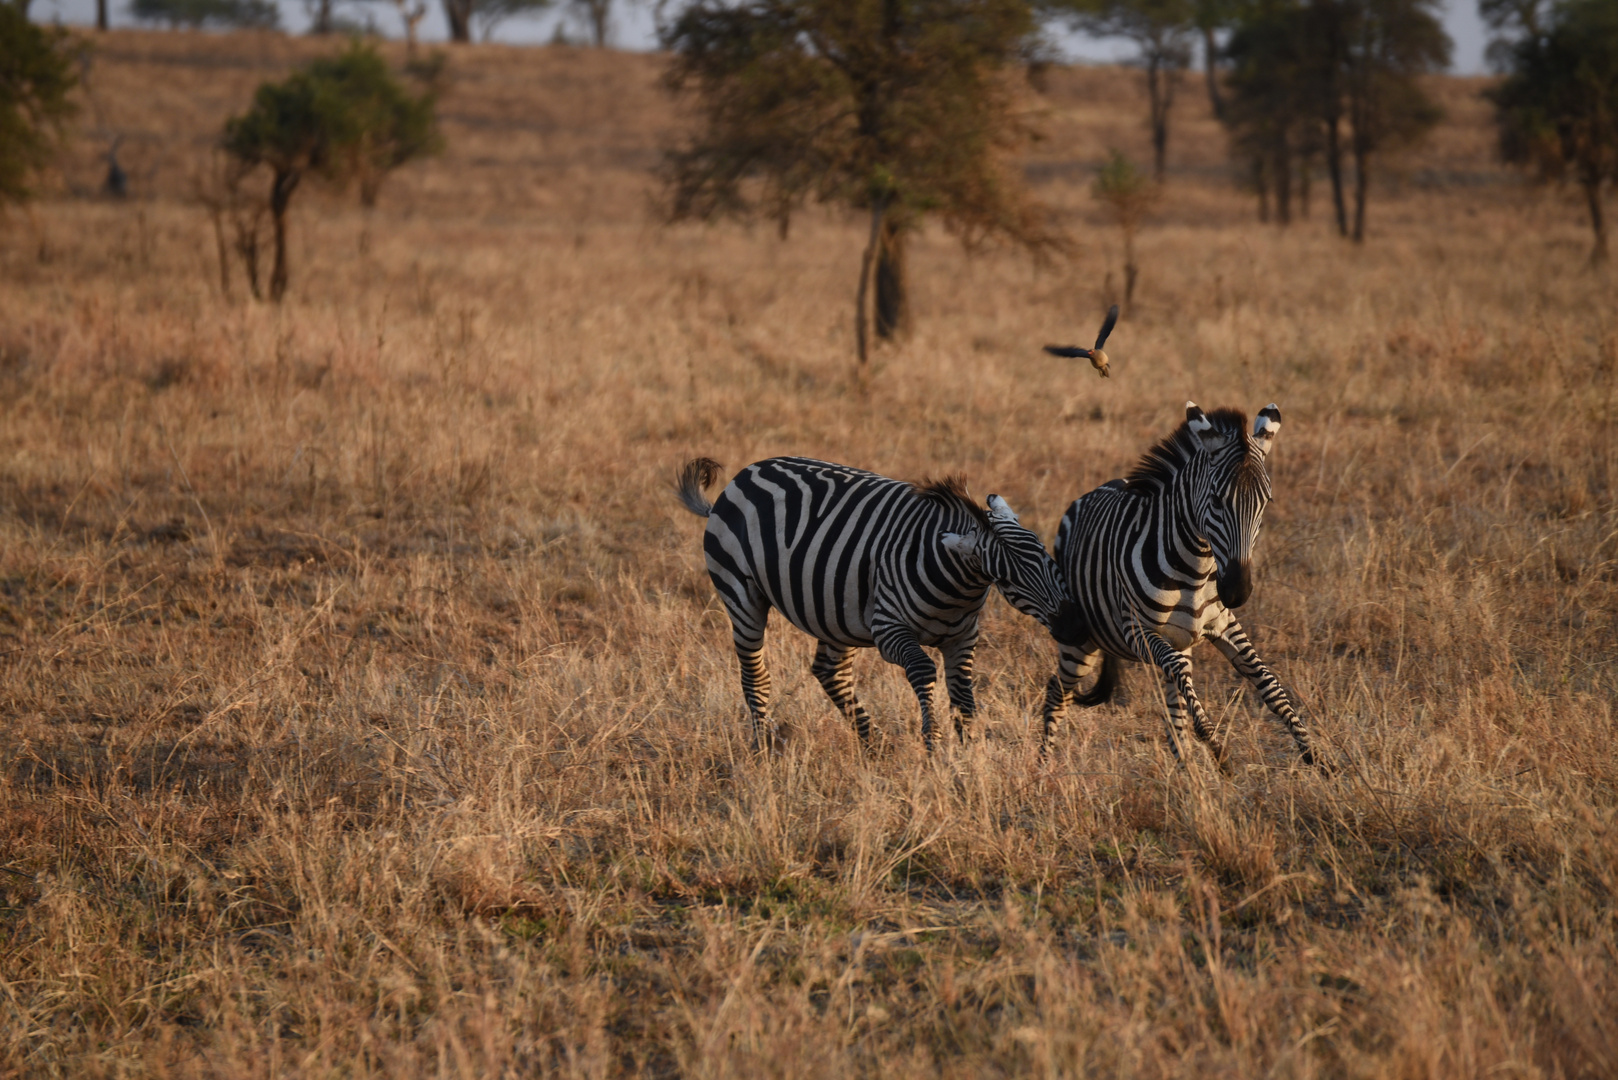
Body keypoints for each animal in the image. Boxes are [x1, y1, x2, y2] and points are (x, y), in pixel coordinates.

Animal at [676, 456, 1080, 751]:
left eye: (1048, 558)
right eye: (1007, 579)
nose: (1070, 624)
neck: (958, 587)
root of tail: (745, 474)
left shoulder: (963, 637)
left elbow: (964, 695)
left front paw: (970, 752)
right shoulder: (888, 629)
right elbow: (923, 670)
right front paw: (934, 747)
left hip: (835, 613)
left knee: (831, 672)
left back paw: (875, 744)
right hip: (741, 595)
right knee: (754, 674)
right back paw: (765, 746)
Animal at [1041, 403, 1320, 767]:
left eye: (1266, 502)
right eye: (1216, 500)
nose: (1237, 592)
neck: (1196, 569)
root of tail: (1093, 491)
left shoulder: (1223, 623)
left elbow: (1268, 683)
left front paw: (1316, 755)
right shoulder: (1137, 631)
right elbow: (1183, 682)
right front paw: (1216, 746)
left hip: (1177, 640)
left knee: (1174, 706)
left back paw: (1185, 770)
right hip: (1080, 641)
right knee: (1056, 694)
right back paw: (1041, 770)